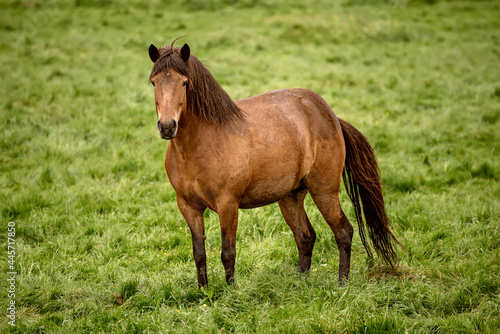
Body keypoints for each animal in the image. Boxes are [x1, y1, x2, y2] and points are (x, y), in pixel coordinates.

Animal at [148, 41, 402, 288]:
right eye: (153, 82)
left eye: (184, 83)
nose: (167, 126)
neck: (202, 145)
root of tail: (331, 117)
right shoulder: (188, 207)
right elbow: (199, 253)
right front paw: (204, 292)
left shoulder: (227, 204)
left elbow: (227, 252)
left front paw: (230, 293)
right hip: (290, 196)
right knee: (306, 236)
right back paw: (299, 284)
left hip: (324, 191)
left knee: (343, 231)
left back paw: (342, 284)